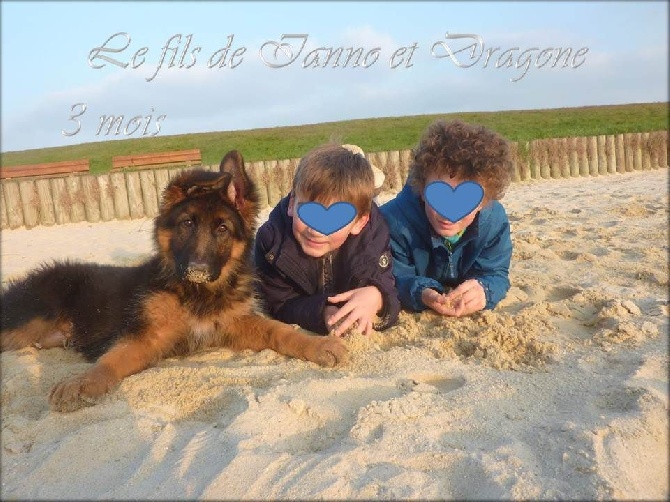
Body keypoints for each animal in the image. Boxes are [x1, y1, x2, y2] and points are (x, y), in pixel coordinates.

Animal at [0, 151, 346, 410]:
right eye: (187, 224)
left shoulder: (234, 323)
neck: (196, 293)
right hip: (26, 321)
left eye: (222, 229)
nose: (198, 269)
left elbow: (279, 330)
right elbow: (111, 360)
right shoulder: (146, 336)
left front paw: (317, 345)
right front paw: (81, 382)